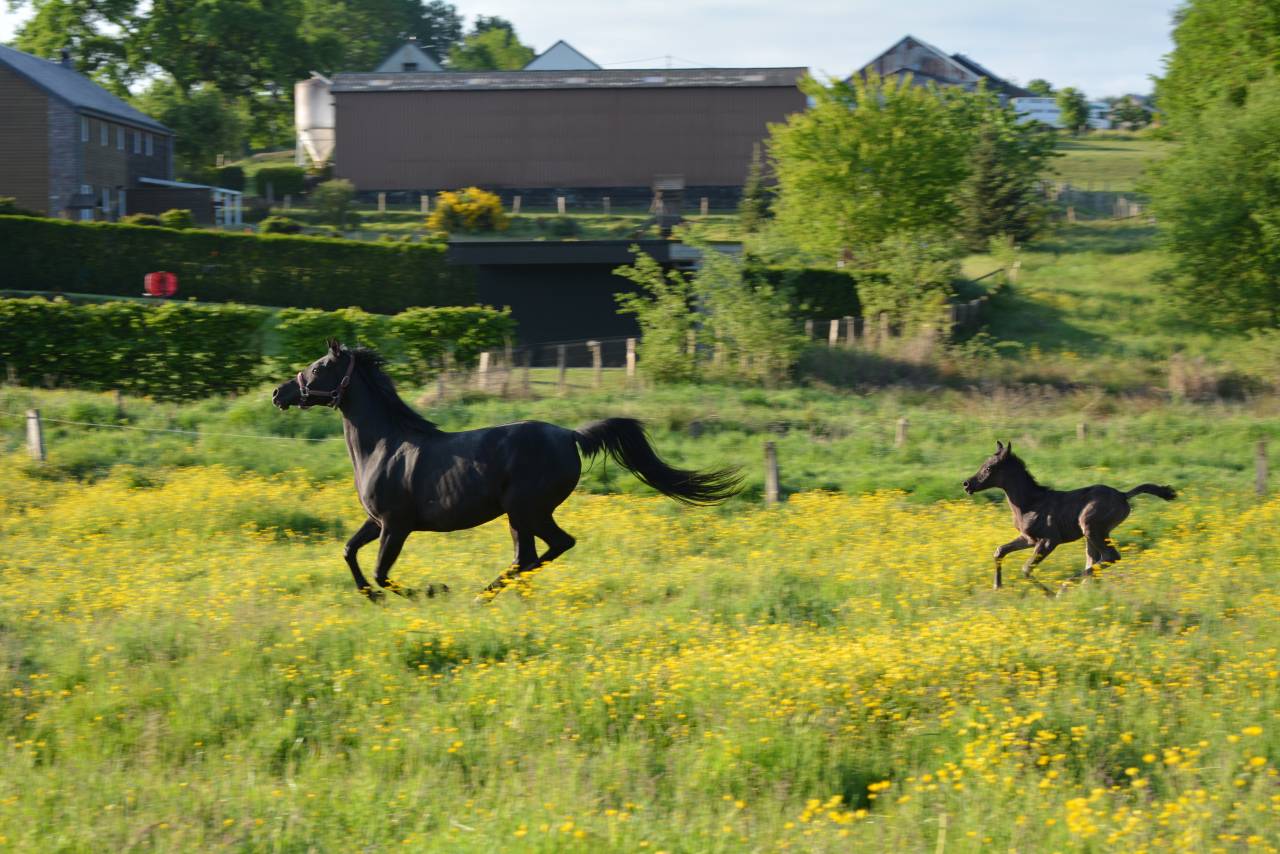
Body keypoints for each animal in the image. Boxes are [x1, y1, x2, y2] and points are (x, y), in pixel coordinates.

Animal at [272, 339, 742, 602]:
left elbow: (381, 572)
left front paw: (431, 591)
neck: (385, 446)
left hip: (525, 509)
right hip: (523, 514)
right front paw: (370, 597)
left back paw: (482, 594)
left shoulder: (396, 524)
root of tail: (571, 435)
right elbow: (349, 552)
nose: (279, 393)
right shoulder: (375, 521)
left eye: (318, 368)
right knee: (533, 556)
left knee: (542, 552)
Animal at [962, 441, 1176, 595]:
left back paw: (1066, 587)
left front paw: (1050, 594)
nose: (967, 484)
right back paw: (1086, 589)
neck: (1029, 503)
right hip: (1092, 535)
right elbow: (1000, 550)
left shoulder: (1049, 540)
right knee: (1096, 560)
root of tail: (1123, 495)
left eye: (989, 468)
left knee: (1110, 556)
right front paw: (997, 586)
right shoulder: (1029, 538)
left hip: (1091, 527)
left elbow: (1025, 568)